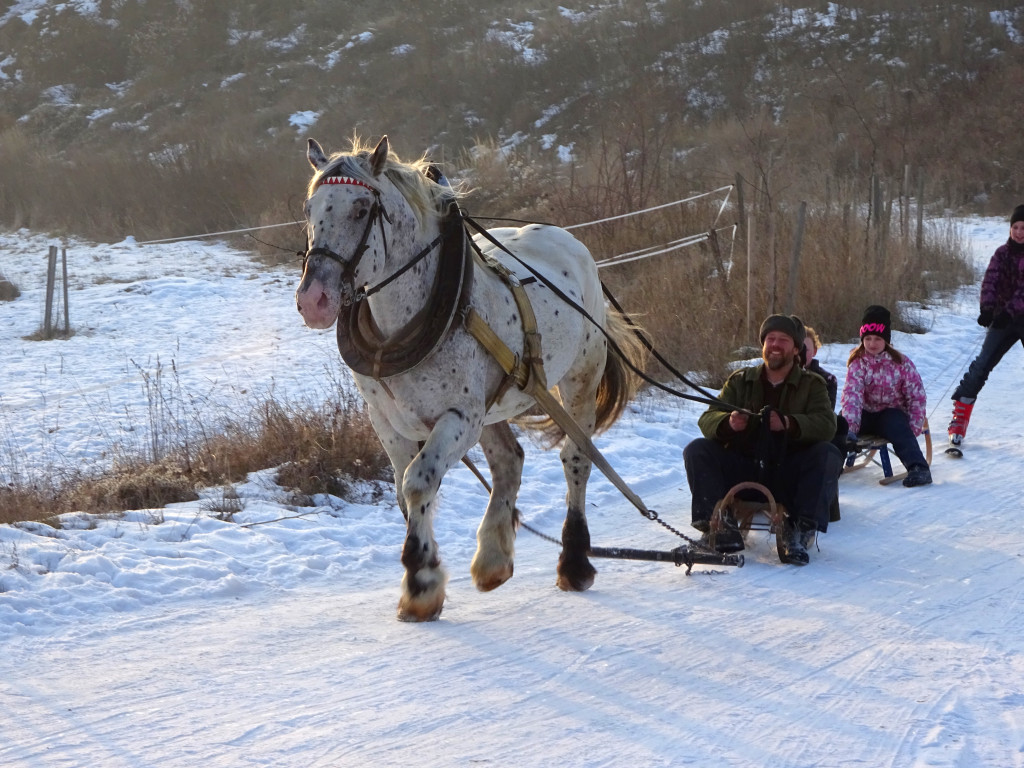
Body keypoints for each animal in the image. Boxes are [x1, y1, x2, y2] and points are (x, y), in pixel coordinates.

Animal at [292, 135, 643, 622]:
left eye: (362, 208)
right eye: (309, 209)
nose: (314, 300)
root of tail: (568, 239)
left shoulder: (459, 416)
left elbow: (418, 482)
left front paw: (420, 583)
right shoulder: (388, 423)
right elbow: (404, 492)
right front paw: (425, 572)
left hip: (577, 378)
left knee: (576, 458)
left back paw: (574, 561)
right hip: (491, 406)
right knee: (509, 460)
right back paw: (493, 559)